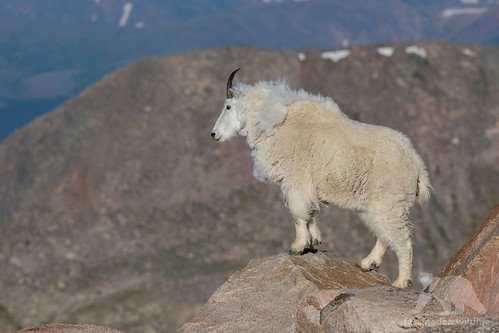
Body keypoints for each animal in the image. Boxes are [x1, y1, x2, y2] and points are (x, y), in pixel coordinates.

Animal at [210, 68, 430, 288]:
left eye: (228, 106)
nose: (214, 134)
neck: (273, 122)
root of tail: (417, 163)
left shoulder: (296, 180)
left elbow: (298, 214)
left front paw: (297, 247)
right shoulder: (306, 186)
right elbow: (311, 214)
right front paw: (313, 242)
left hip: (391, 202)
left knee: (402, 239)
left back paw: (401, 282)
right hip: (376, 205)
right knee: (385, 235)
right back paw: (367, 263)